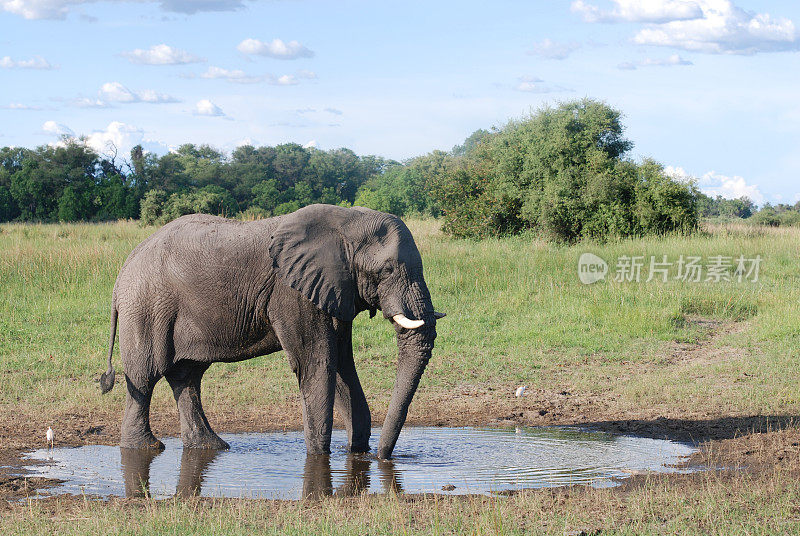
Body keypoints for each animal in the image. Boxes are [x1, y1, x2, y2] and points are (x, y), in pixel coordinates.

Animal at [100, 203, 444, 458]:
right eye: (386, 270)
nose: (382, 457)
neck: (346, 221)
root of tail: (121, 274)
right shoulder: (292, 293)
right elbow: (317, 362)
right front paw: (319, 457)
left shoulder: (335, 290)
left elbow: (341, 364)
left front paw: (356, 453)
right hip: (145, 307)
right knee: (145, 377)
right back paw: (145, 448)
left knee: (187, 377)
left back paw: (211, 447)